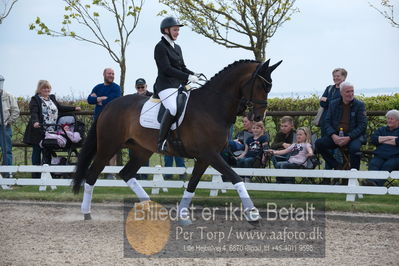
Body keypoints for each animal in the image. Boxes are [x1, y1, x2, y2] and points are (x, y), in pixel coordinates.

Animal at [73, 59, 282, 223]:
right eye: (262, 86)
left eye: (269, 87)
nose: (259, 117)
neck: (212, 107)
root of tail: (109, 105)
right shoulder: (210, 154)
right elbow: (236, 177)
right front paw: (253, 214)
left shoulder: (205, 158)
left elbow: (192, 185)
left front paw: (182, 215)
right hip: (108, 147)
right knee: (91, 176)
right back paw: (86, 213)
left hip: (141, 150)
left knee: (126, 173)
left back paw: (152, 208)